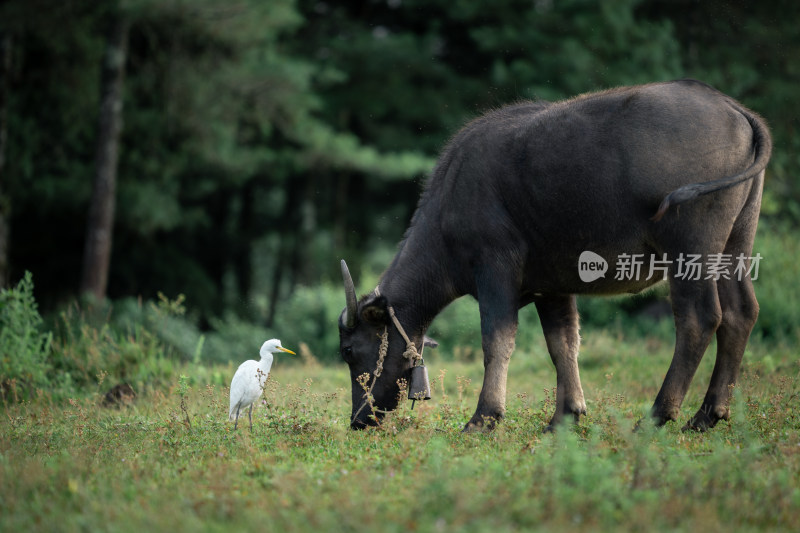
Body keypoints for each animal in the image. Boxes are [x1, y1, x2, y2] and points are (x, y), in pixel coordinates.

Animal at [338, 79, 768, 430]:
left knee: (699, 318)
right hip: (735, 245)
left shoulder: (495, 268)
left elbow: (497, 339)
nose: (359, 420)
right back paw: (707, 415)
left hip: (689, 251)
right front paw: (565, 416)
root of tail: (730, 107)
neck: (449, 206)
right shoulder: (552, 286)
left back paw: (659, 415)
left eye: (349, 351)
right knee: (740, 313)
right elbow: (563, 342)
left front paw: (484, 417)